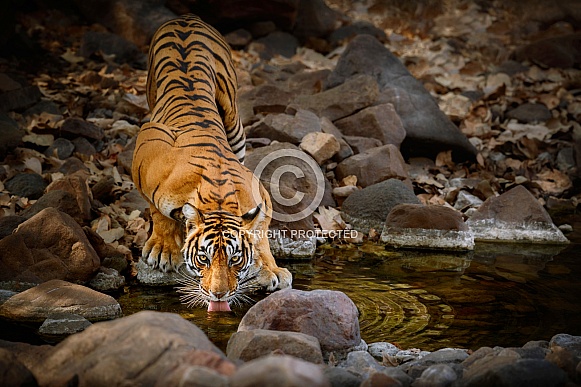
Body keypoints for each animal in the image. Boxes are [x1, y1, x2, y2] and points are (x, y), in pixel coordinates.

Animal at [133, 13, 292, 314]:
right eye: (203, 259)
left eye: (235, 259)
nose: (218, 295)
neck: (218, 199)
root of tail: (186, 17)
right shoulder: (149, 146)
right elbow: (157, 209)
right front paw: (163, 249)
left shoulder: (261, 196)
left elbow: (260, 232)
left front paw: (271, 269)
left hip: (233, 120)